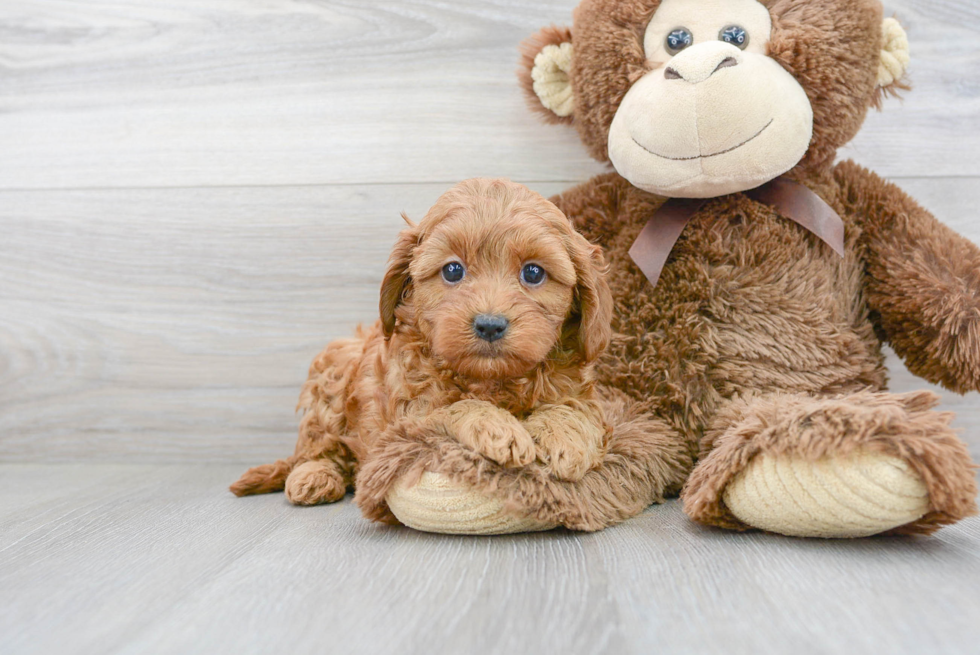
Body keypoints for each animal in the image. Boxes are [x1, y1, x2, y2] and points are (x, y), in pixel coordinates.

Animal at [230, 178, 612, 508]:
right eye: (453, 271)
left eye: (533, 273)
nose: (489, 325)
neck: (492, 380)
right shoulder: (407, 414)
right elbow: (451, 408)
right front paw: (496, 428)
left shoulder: (581, 393)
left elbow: (574, 409)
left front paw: (564, 439)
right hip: (334, 373)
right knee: (316, 446)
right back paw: (314, 476)